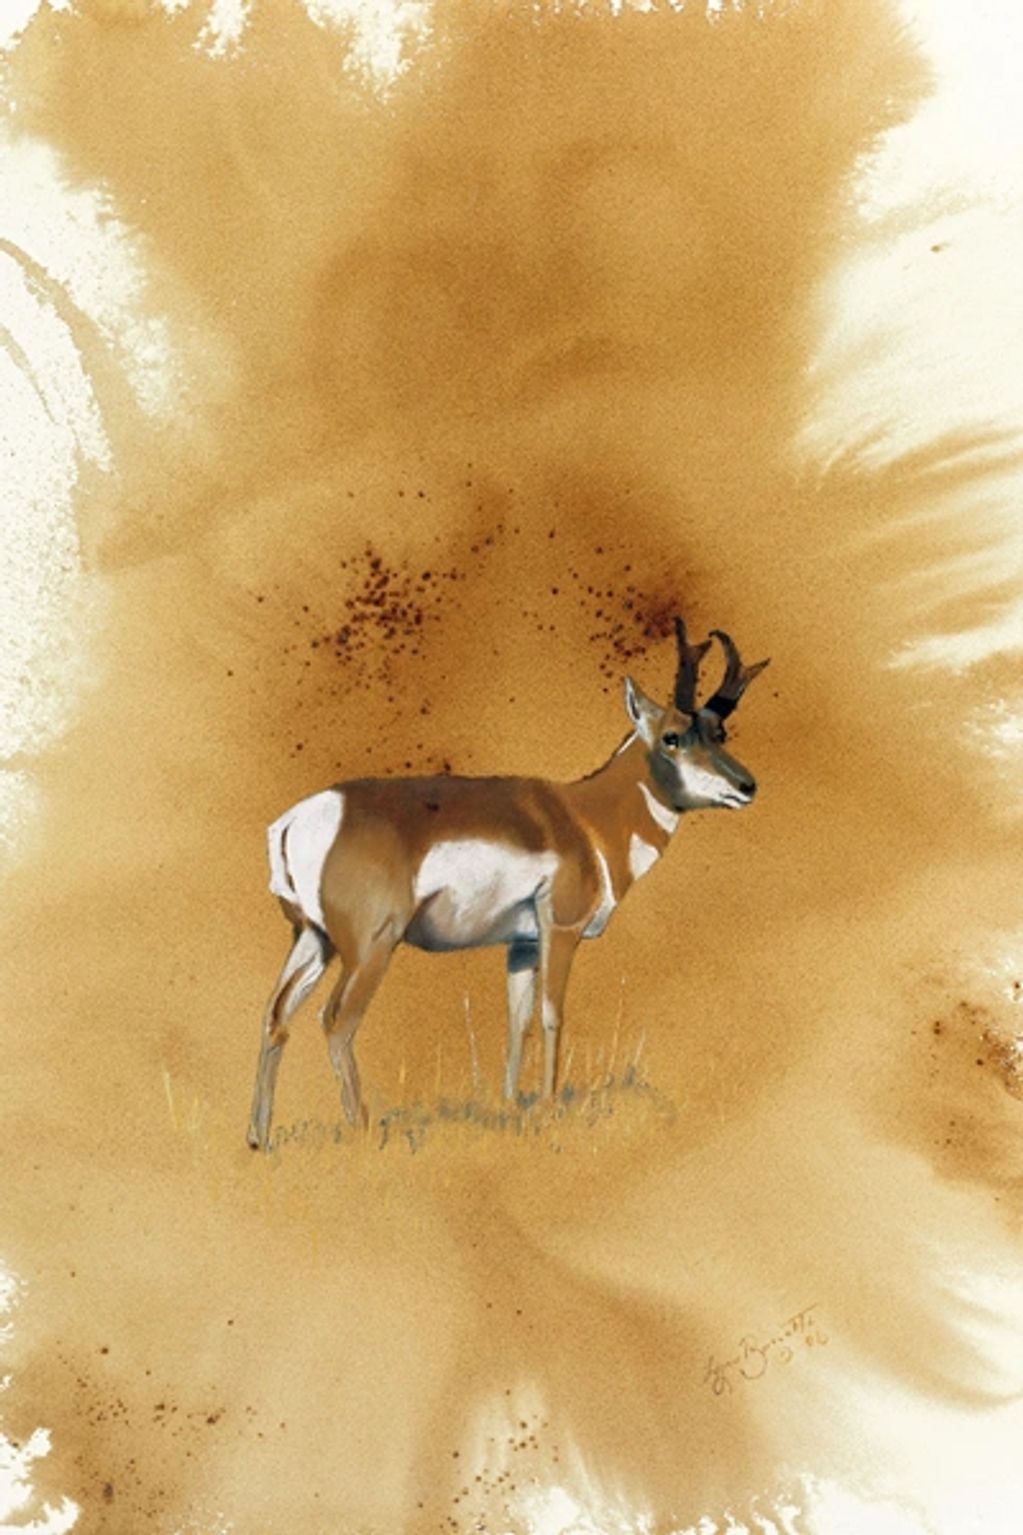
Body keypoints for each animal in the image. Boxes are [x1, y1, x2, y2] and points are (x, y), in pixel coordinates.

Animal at [246, 619, 769, 1150]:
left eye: (720, 732)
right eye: (672, 737)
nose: (747, 786)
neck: (585, 818)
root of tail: (298, 819)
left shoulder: (521, 944)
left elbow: (518, 1022)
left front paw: (512, 1106)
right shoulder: (560, 929)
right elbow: (552, 1015)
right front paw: (549, 1108)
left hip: (314, 938)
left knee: (275, 1015)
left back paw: (258, 1140)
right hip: (371, 945)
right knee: (335, 1020)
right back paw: (363, 1129)